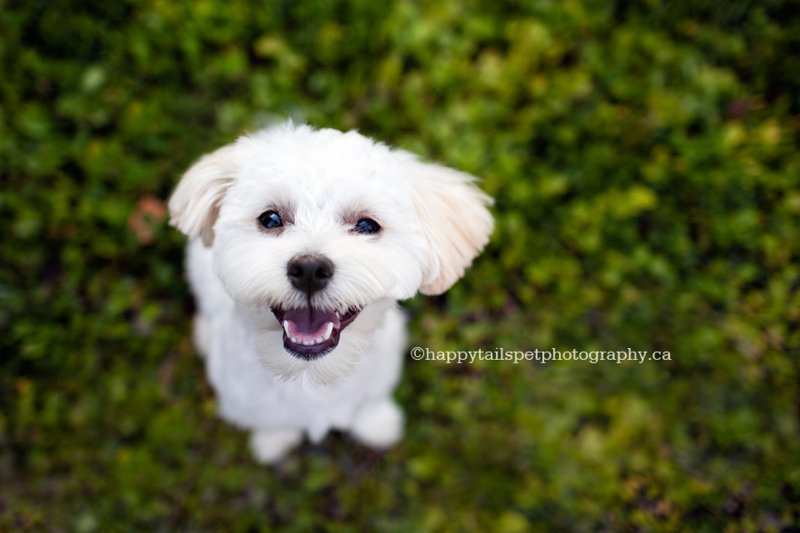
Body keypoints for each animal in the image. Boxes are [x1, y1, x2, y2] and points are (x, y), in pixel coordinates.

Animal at [170, 121, 494, 462]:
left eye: (367, 225)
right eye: (270, 219)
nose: (309, 270)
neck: (310, 376)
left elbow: (369, 402)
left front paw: (377, 423)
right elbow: (269, 420)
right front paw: (274, 440)